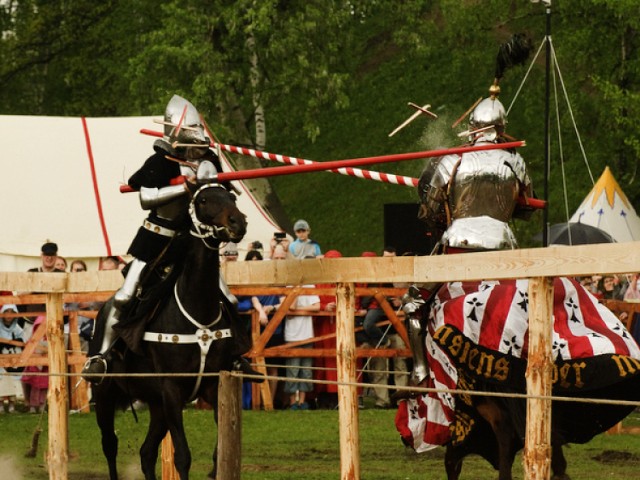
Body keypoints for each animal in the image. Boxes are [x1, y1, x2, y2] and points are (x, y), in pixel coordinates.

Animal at [90, 181, 248, 480]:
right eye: (204, 200)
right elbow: (182, 456)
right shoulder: (173, 390)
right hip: (105, 395)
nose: (238, 222)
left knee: (146, 453)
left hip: (156, 404)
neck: (198, 313)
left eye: (231, 198)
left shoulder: (212, 386)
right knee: (109, 445)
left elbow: (219, 452)